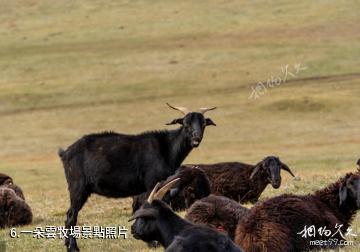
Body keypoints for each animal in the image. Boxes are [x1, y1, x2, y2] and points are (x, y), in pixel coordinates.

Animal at [59, 103, 217, 251]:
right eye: (185, 123)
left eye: (203, 124)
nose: (196, 139)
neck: (167, 148)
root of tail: (65, 153)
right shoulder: (152, 183)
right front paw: (153, 243)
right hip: (78, 188)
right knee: (71, 216)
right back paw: (73, 248)